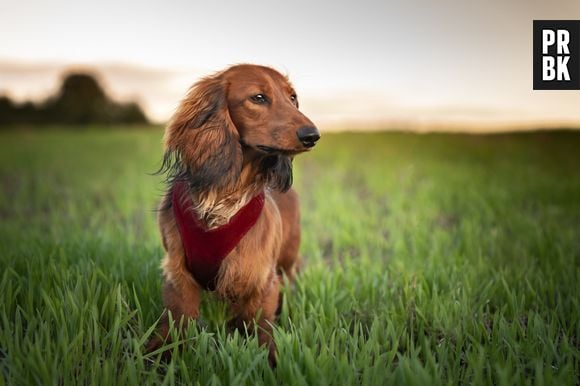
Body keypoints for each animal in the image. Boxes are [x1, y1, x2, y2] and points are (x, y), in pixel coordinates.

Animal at [147, 63, 320, 364]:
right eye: (258, 98)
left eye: (293, 98)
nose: (312, 135)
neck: (223, 197)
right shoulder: (178, 273)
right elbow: (178, 322)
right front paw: (157, 353)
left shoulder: (261, 278)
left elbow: (260, 328)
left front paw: (270, 360)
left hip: (287, 261)